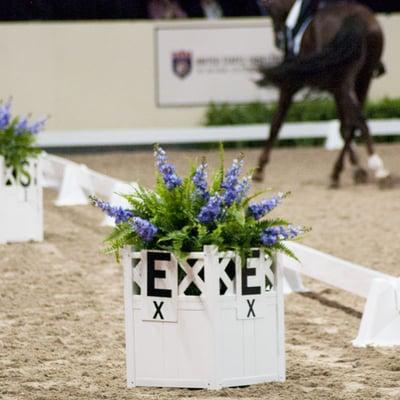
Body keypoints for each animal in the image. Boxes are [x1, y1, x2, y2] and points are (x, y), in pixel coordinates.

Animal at [256, 0, 390, 188]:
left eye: (270, 10)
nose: (278, 40)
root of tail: (355, 16)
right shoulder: (337, 89)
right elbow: (344, 127)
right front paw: (356, 170)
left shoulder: (291, 84)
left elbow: (276, 123)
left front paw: (260, 168)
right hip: (363, 79)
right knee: (355, 122)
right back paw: (344, 171)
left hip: (342, 82)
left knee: (359, 120)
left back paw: (379, 170)